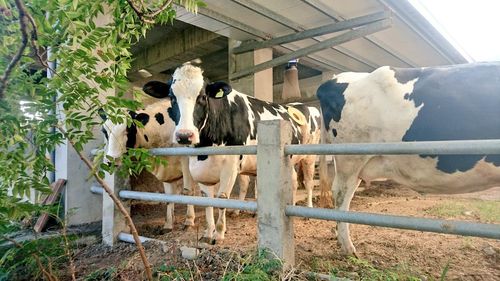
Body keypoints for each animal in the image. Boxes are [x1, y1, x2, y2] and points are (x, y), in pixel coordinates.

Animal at [100, 99, 196, 231]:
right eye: (104, 132)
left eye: (128, 130)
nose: (111, 160)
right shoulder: (166, 167)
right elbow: (169, 196)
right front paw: (168, 224)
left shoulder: (187, 160)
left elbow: (188, 191)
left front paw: (189, 221)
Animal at [143, 64, 320, 243]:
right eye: (172, 97)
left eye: (202, 97)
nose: (185, 135)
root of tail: (304, 105)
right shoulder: (201, 170)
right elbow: (207, 201)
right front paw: (208, 232)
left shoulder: (231, 165)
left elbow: (222, 198)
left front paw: (219, 234)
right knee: (293, 180)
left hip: (310, 156)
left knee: (308, 182)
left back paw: (308, 211)